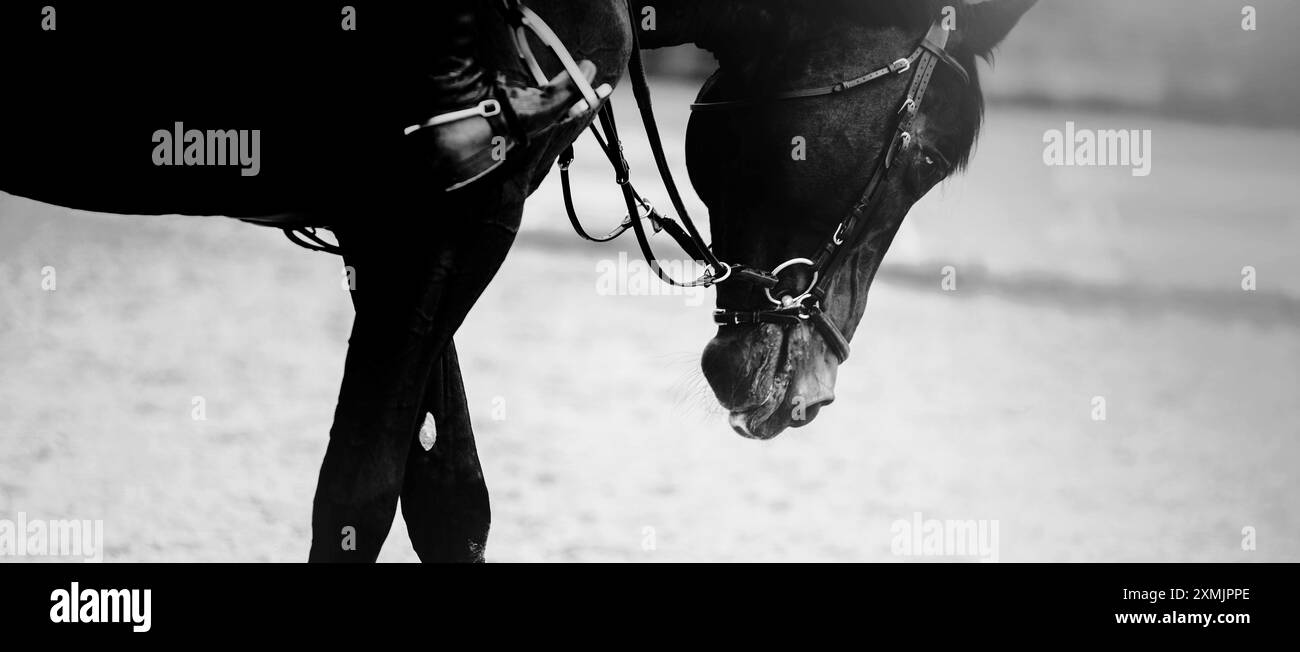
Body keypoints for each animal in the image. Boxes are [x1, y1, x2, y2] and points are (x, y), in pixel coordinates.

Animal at [0, 0, 1034, 561]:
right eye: (923, 156)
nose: (809, 389)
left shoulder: (411, 233)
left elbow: (450, 500)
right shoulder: (447, 225)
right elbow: (359, 495)